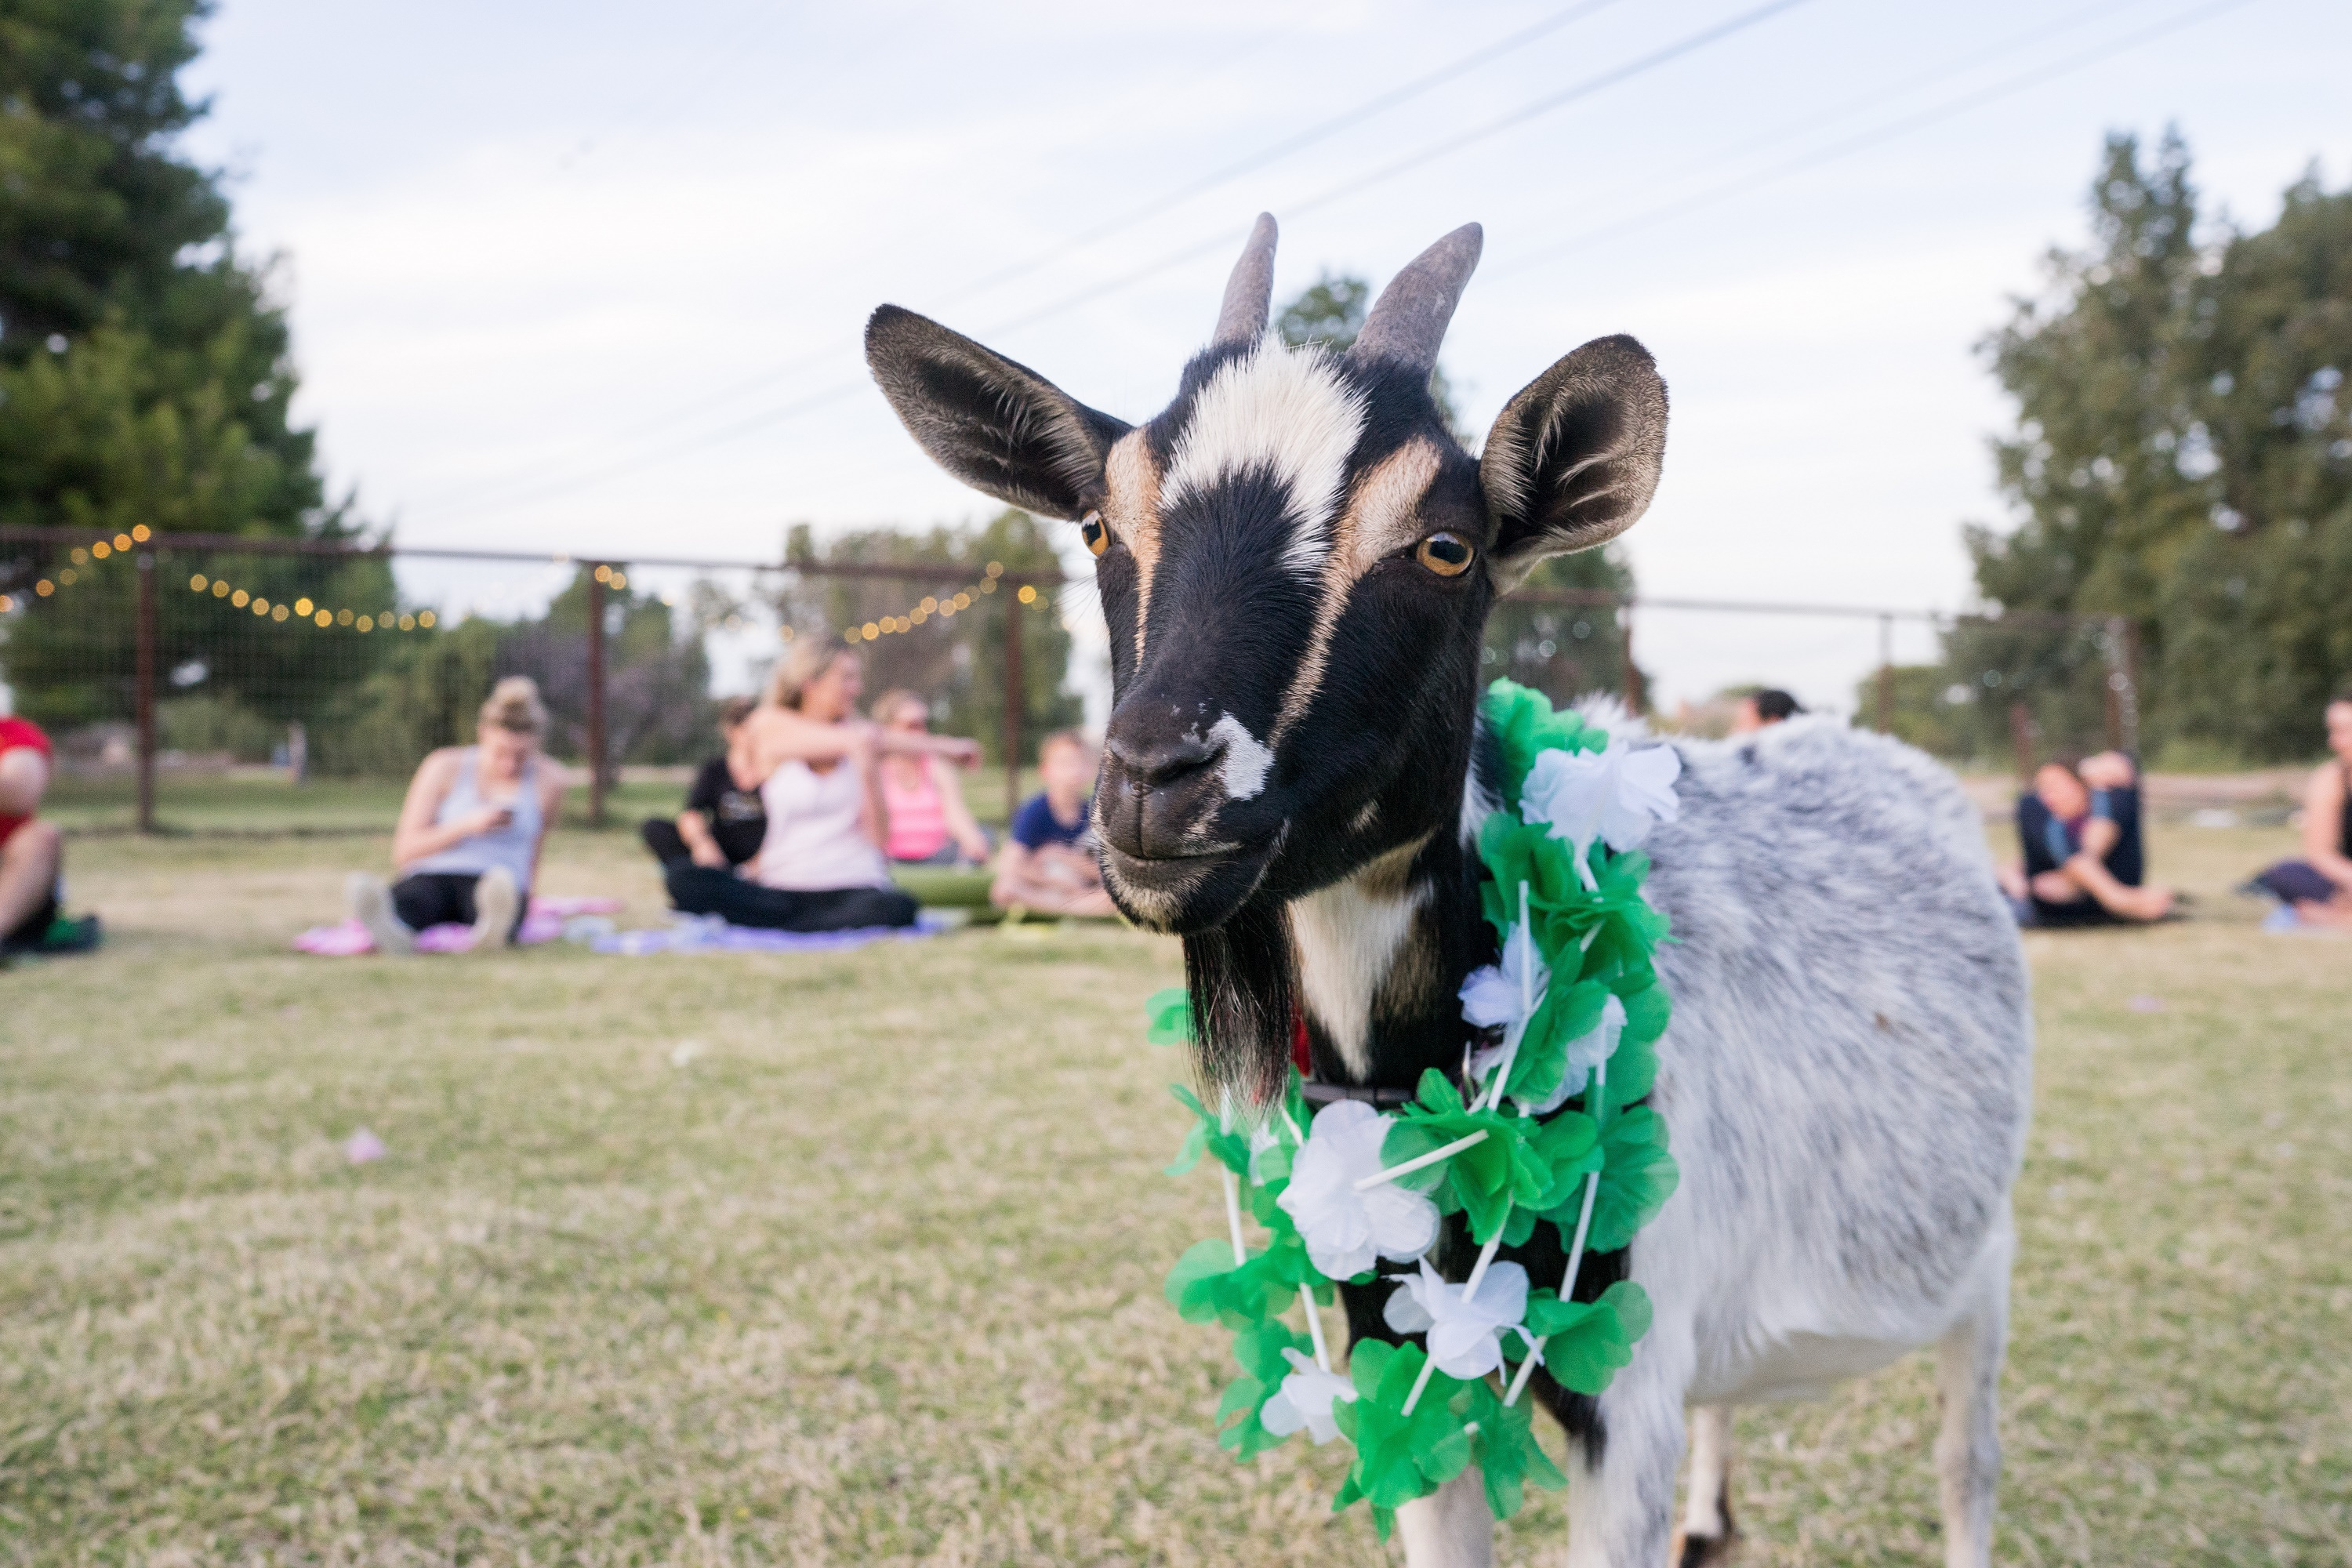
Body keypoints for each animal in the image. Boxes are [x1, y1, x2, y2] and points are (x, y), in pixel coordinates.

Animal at [866, 217, 2023, 1568]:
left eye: (1445, 544)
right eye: (1100, 526)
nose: (1156, 783)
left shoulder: (1625, 1386)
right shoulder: (1398, 1362)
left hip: (1983, 1257)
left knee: (1966, 1461)